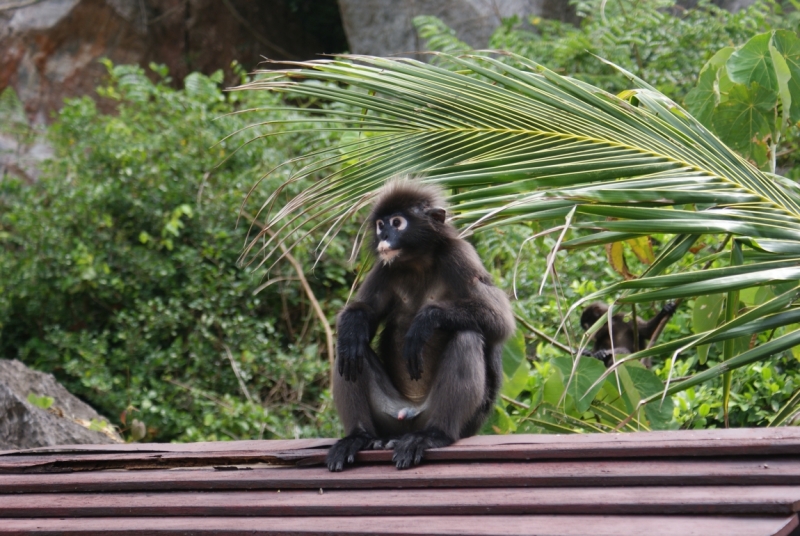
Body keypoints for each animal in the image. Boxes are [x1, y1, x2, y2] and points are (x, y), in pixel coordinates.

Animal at [328, 179, 516, 468]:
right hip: (388, 416)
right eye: (380, 224)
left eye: (397, 223)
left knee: (466, 335)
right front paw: (354, 327)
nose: (384, 237)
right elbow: (364, 312)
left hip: (451, 418)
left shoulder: (458, 255)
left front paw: (425, 322)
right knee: (349, 352)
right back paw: (358, 436)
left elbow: (501, 319)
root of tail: (409, 413)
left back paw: (434, 435)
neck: (416, 262)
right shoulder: (385, 267)